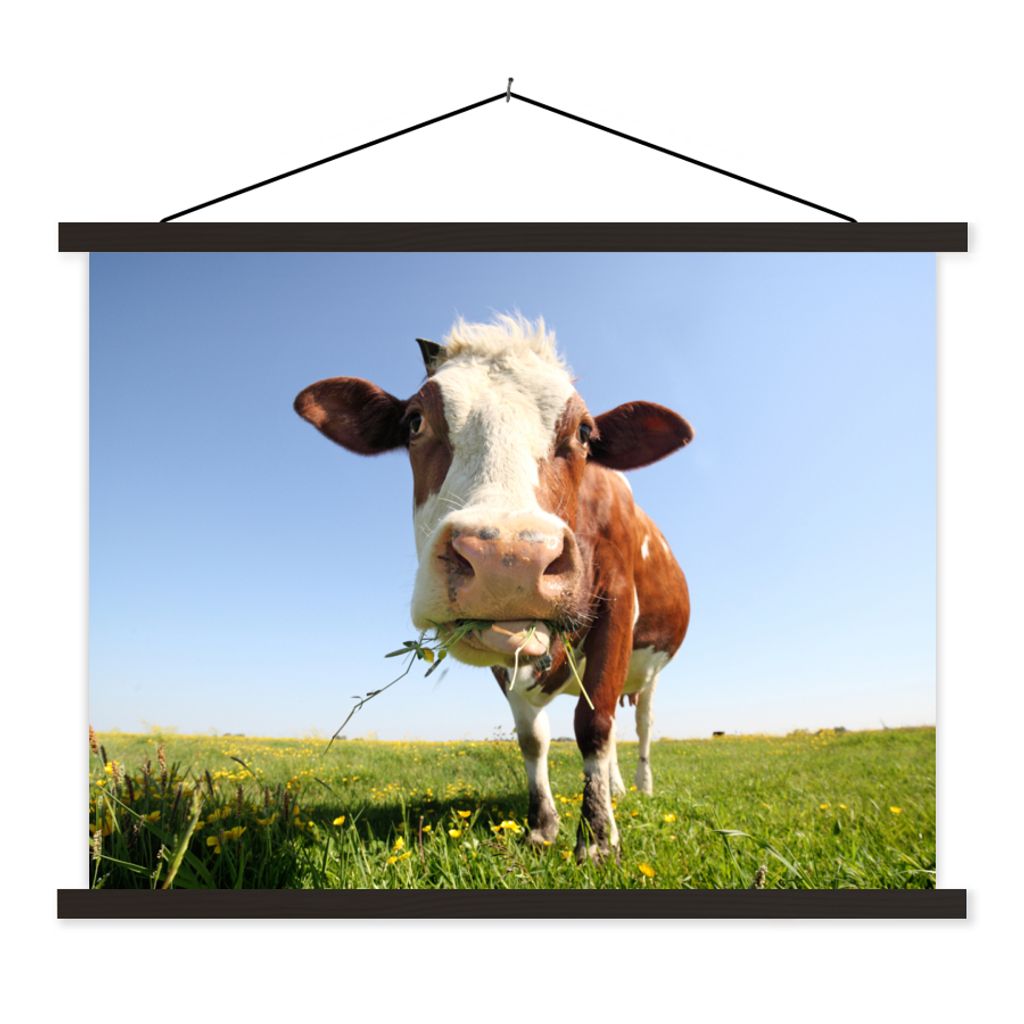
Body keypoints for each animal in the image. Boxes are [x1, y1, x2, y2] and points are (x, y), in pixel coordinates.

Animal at [294, 315, 692, 860]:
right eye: (414, 421)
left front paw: (596, 838)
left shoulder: (616, 604)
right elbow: (533, 737)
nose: (508, 558)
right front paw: (543, 825)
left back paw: (639, 788)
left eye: (585, 432)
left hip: (649, 671)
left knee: (639, 725)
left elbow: (594, 726)